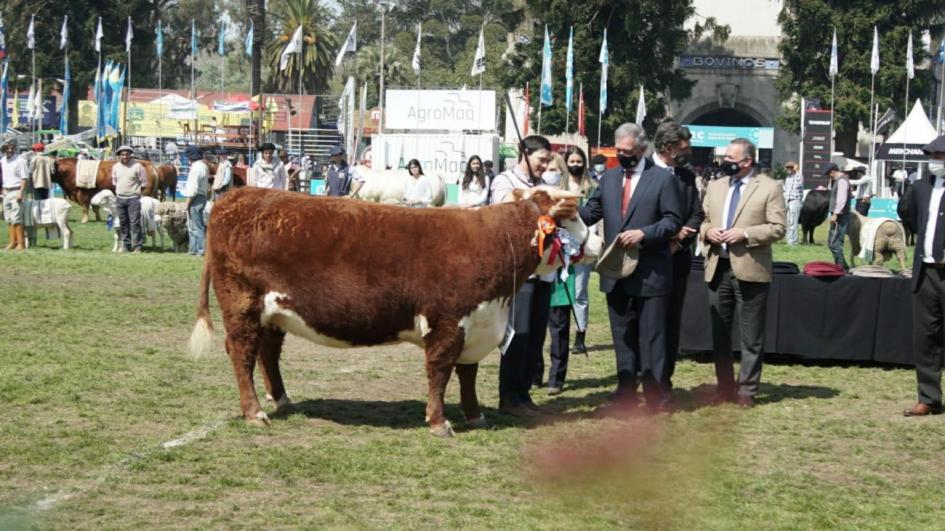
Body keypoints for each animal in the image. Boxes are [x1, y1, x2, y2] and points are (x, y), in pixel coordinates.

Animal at [190, 187, 596, 436]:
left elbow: (467, 373)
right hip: (242, 303)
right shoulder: (447, 322)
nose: (596, 244)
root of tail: (236, 195)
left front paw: (474, 415)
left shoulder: (475, 323)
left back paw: (281, 399)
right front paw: (439, 422)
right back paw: (254, 412)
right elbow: (440, 371)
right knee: (241, 350)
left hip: (273, 311)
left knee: (268, 351)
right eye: (572, 218)